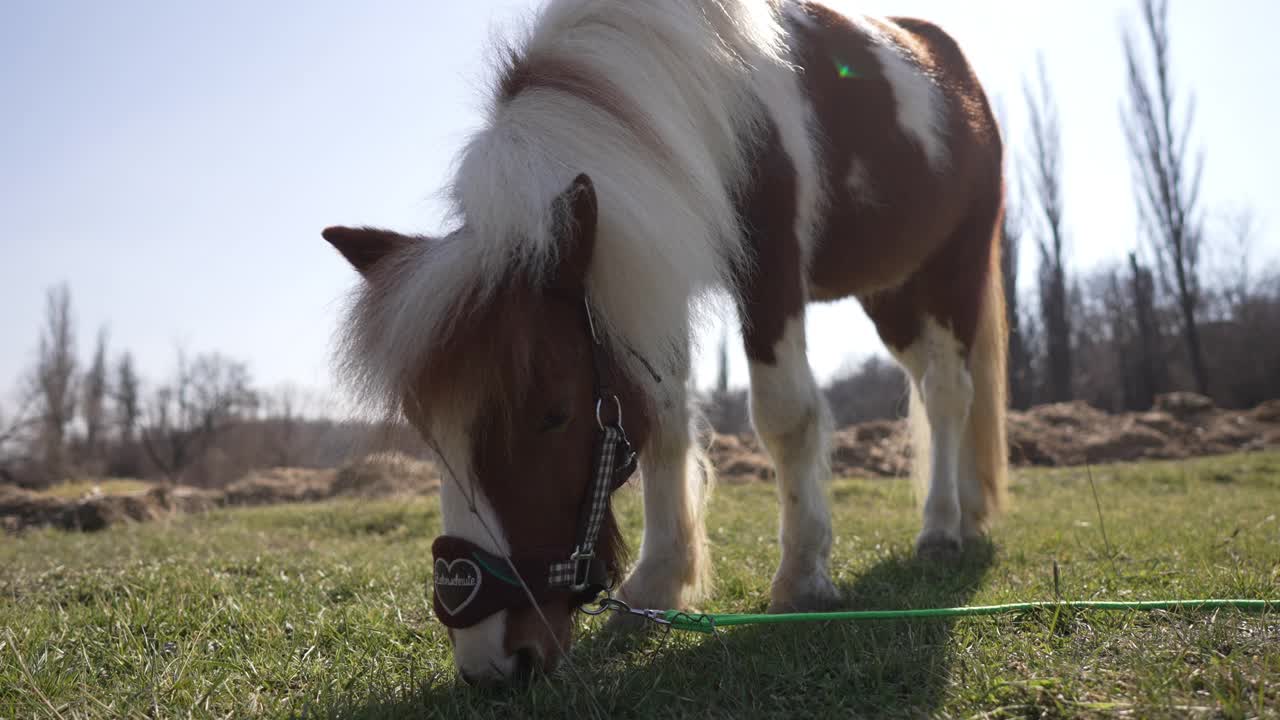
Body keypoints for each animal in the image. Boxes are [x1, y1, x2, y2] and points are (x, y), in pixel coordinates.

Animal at [322, 0, 1008, 681]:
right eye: (426, 432)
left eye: (553, 414)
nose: (491, 660)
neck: (698, 89)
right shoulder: (652, 271)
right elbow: (663, 422)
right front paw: (658, 582)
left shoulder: (769, 275)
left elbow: (784, 417)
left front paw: (803, 576)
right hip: (890, 291)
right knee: (933, 386)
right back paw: (969, 507)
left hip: (954, 271)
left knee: (948, 393)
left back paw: (942, 529)